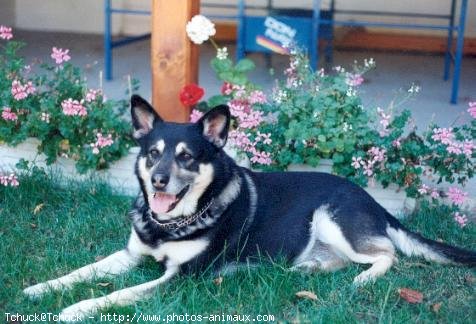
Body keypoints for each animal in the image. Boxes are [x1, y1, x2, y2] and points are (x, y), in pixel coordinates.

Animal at [23, 95, 476, 318]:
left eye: (187, 157)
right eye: (152, 154)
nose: (158, 181)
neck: (173, 222)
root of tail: (374, 202)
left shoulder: (182, 277)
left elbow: (119, 295)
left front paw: (76, 308)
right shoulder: (130, 254)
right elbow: (83, 271)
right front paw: (40, 288)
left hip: (331, 217)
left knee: (387, 253)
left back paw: (365, 278)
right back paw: (311, 269)